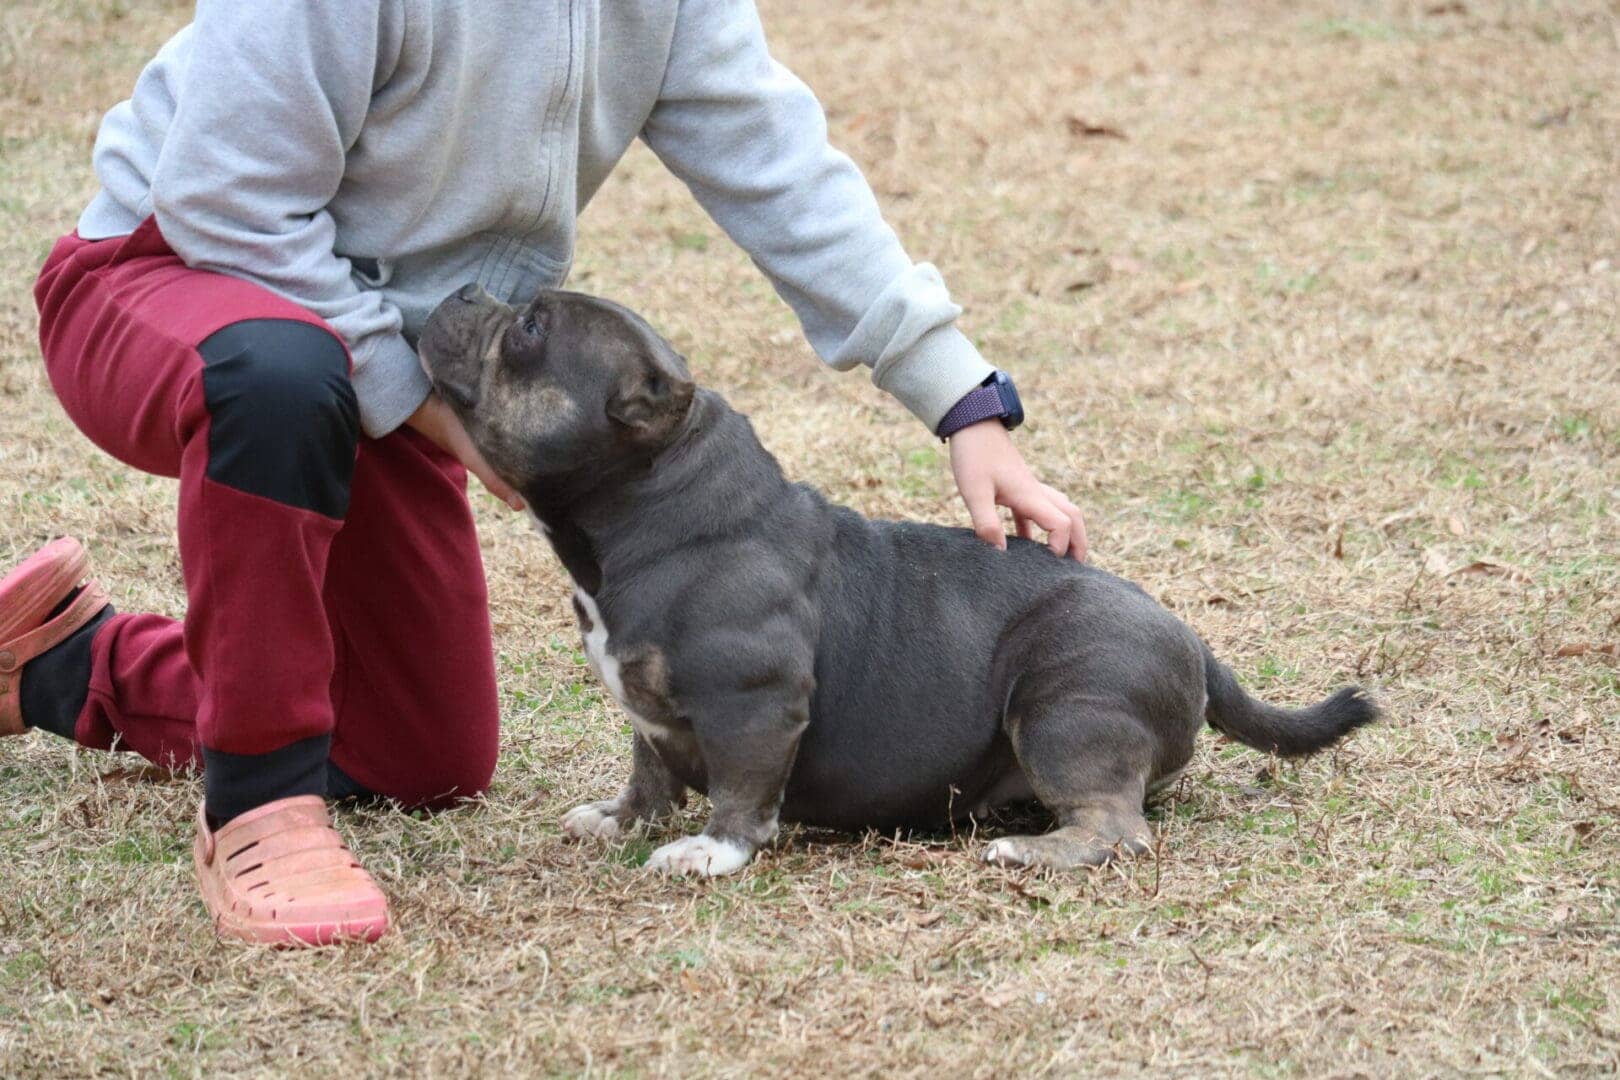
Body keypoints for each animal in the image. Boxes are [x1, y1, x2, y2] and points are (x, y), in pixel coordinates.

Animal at [417, 284, 1380, 880]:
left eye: (531, 329)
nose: (461, 291)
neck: (656, 501)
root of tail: (1194, 642)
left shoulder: (754, 706)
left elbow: (739, 793)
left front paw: (710, 853)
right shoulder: (651, 715)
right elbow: (649, 770)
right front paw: (622, 821)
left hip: (1067, 707)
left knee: (1118, 828)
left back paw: (1031, 854)